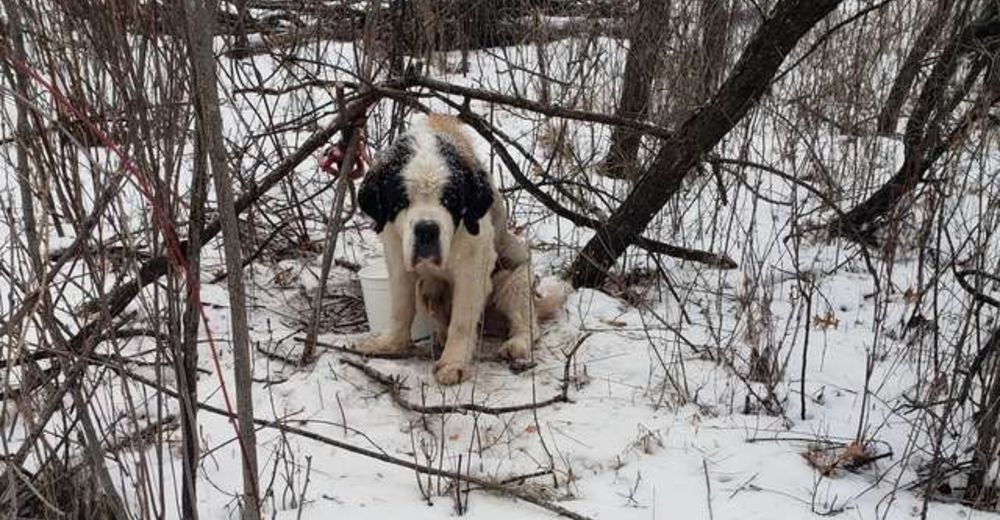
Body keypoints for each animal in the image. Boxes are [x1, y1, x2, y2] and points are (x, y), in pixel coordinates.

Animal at [356, 115, 568, 382]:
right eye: (402, 201)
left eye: (449, 200)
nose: (427, 229)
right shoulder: (396, 253)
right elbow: (400, 307)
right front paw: (390, 343)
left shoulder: (473, 265)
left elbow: (462, 319)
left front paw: (453, 364)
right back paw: (440, 334)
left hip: (516, 278)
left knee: (527, 322)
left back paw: (516, 344)